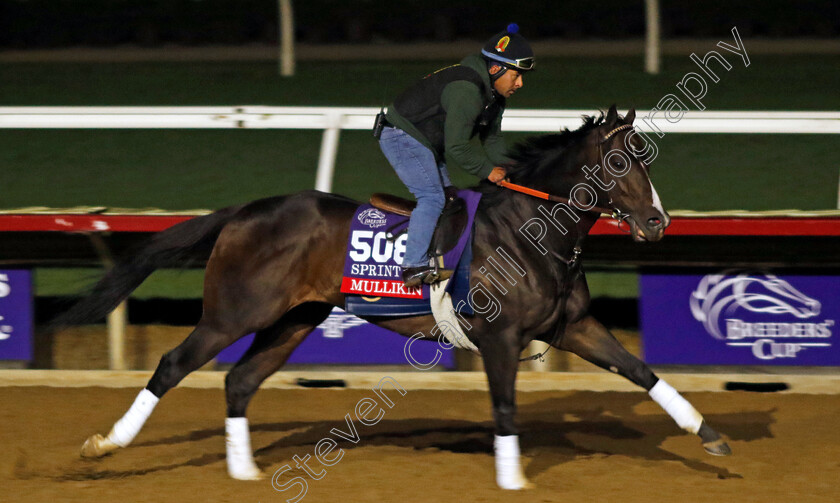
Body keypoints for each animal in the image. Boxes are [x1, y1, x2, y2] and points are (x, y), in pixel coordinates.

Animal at [60, 105, 728, 492]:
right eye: (619, 161)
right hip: (234, 312)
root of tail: (243, 212)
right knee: (174, 364)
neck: (531, 230)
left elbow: (640, 370)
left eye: (647, 159)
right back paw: (105, 444)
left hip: (293, 319)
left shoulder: (575, 326)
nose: (658, 222)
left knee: (240, 381)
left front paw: (710, 436)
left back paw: (244, 470)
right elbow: (505, 407)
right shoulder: (499, 338)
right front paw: (513, 480)